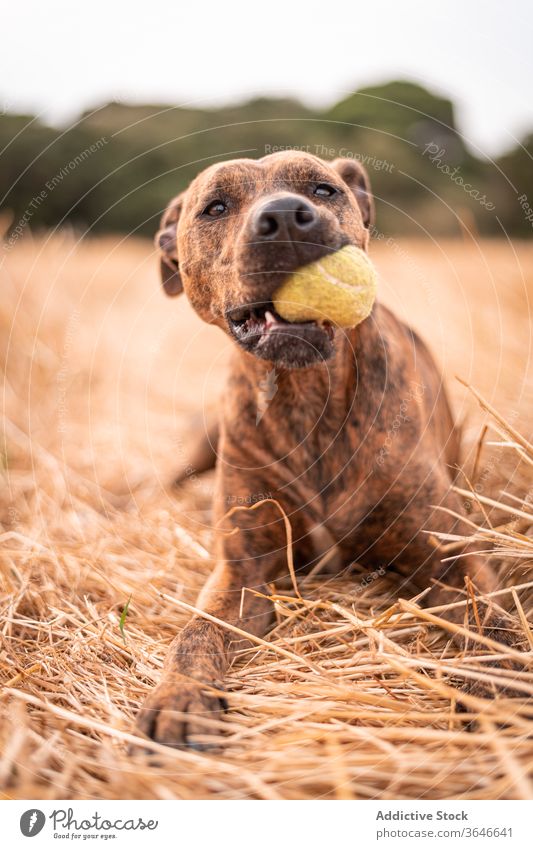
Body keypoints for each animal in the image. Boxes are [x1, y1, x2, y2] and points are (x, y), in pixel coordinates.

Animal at [135, 152, 504, 748]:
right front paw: (179, 695)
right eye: (215, 206)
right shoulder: (241, 568)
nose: (285, 216)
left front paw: (500, 684)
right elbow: (196, 631)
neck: (305, 394)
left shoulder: (451, 556)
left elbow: (490, 621)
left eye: (324, 189)